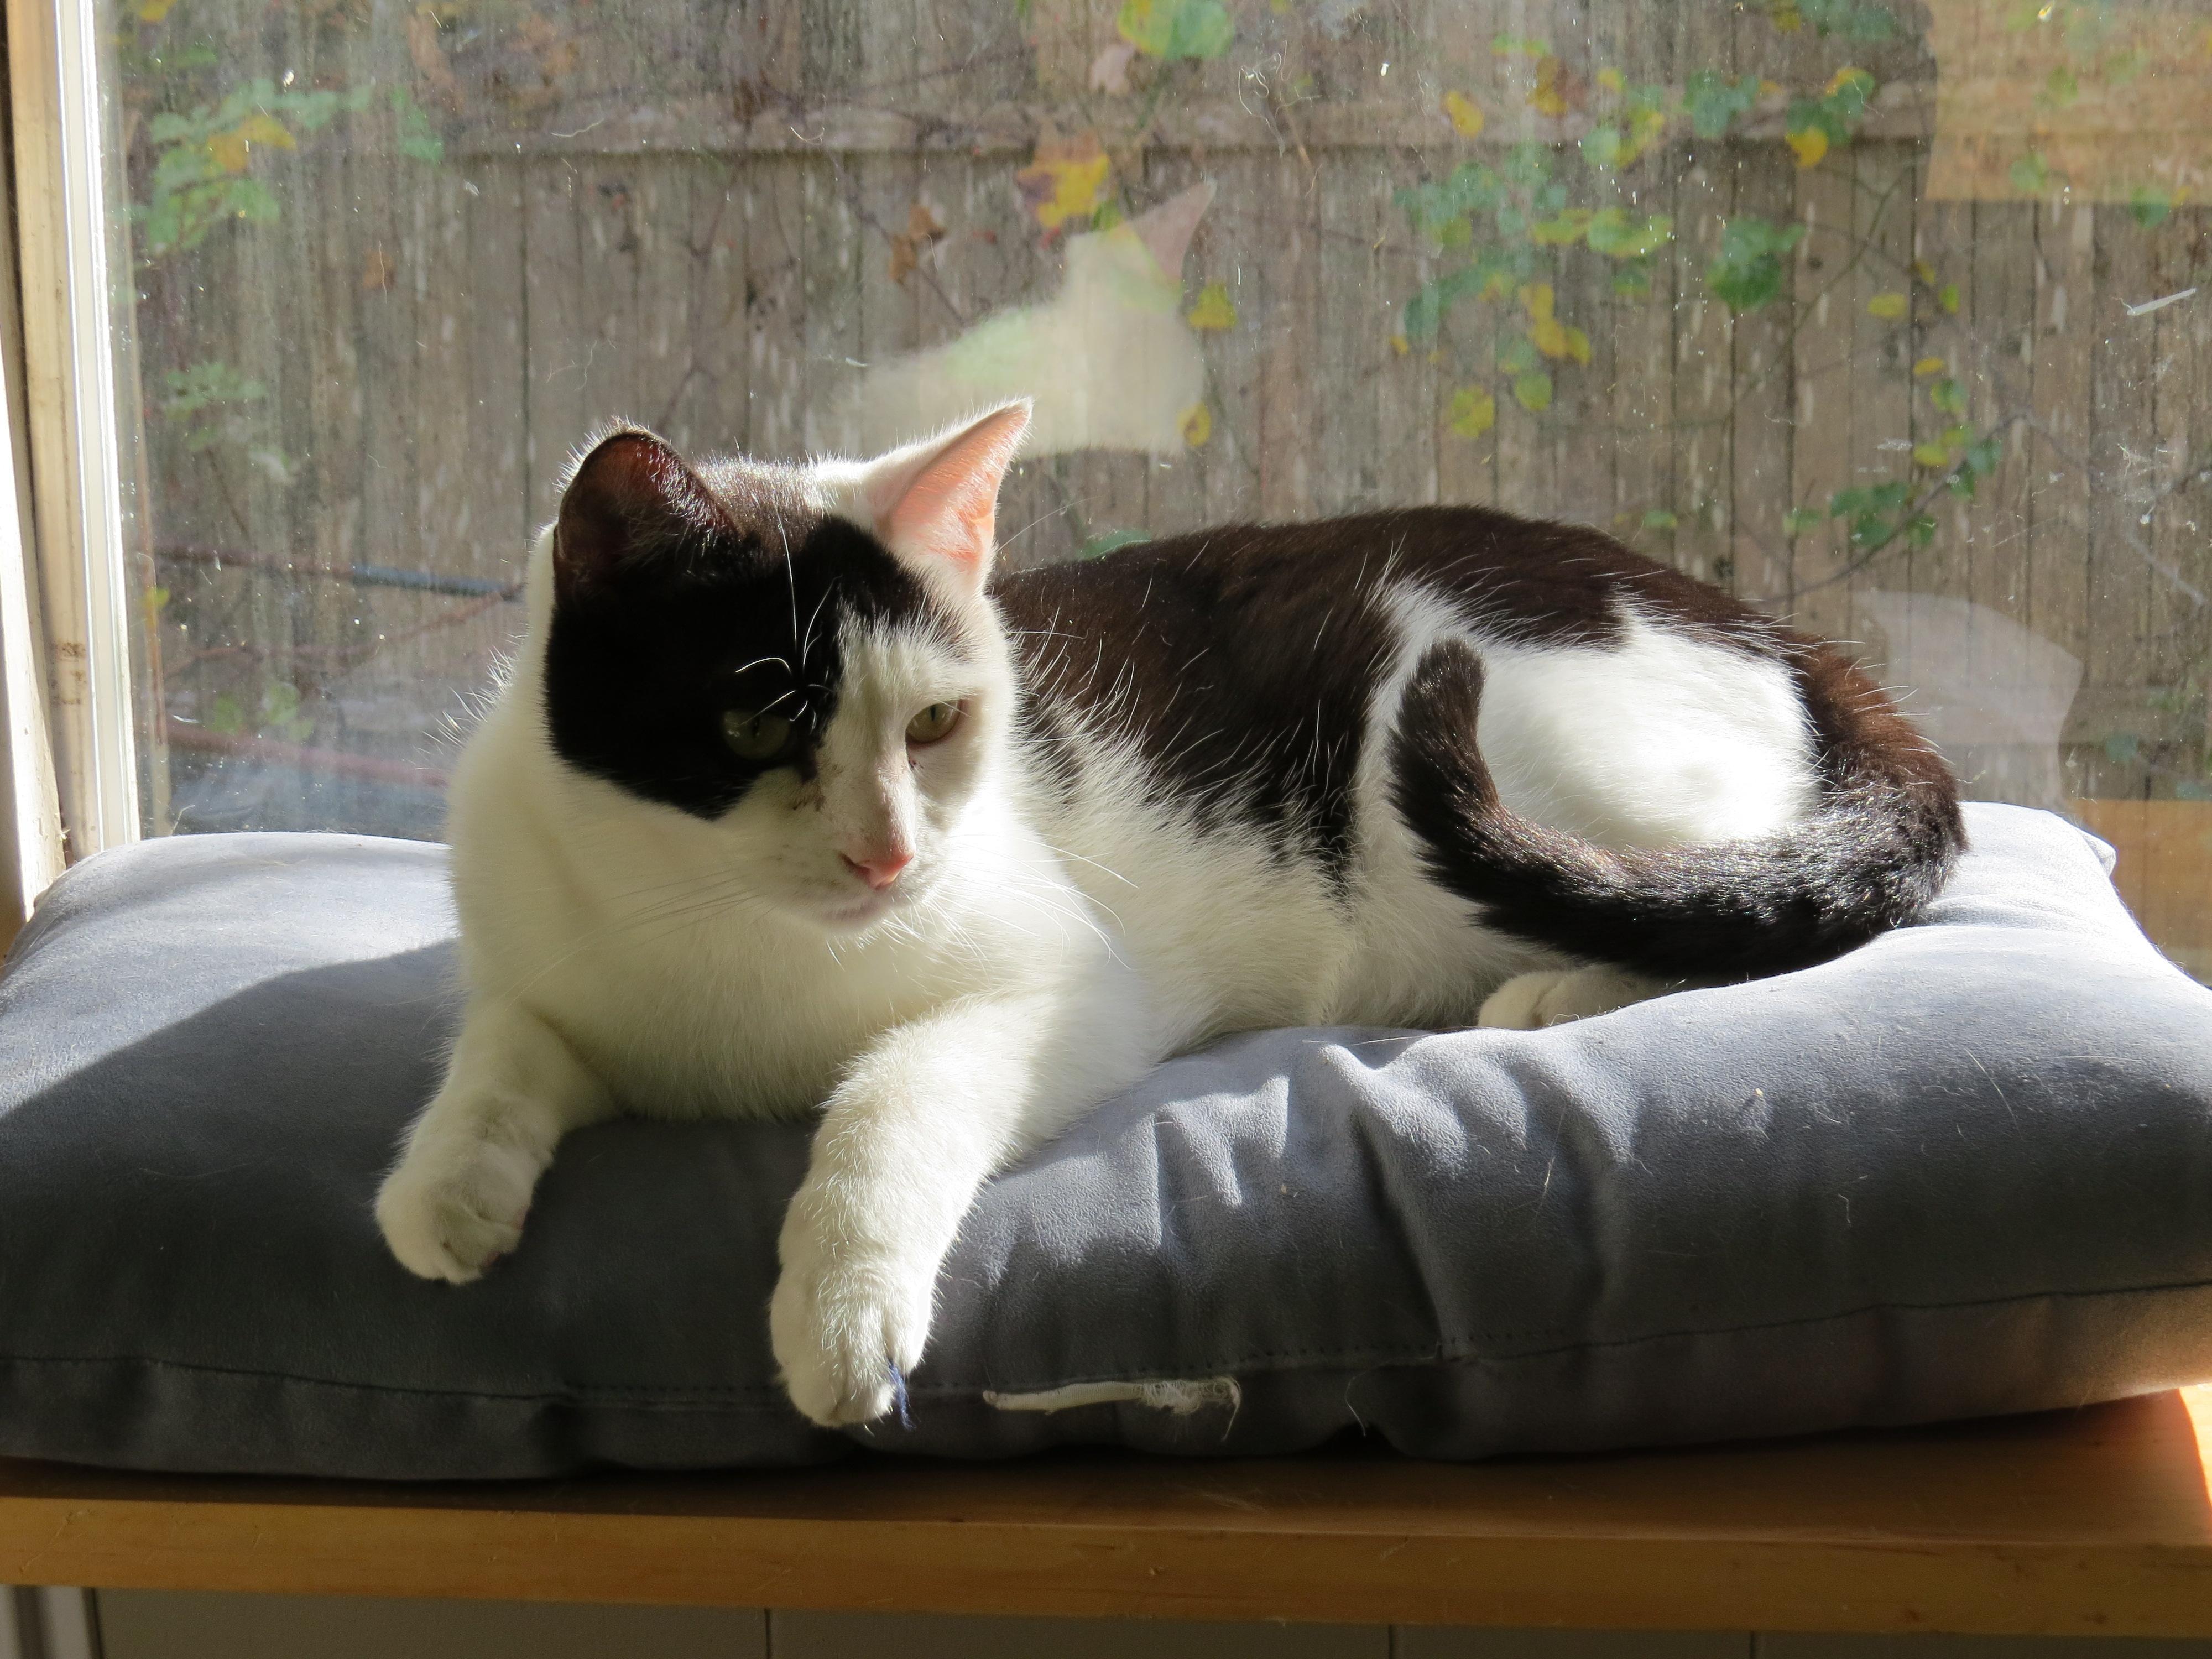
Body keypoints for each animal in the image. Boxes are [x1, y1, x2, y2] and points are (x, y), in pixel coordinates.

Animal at [372, 403, 1964, 1433]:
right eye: (761, 723)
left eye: (938, 724)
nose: (892, 855)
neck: (720, 930)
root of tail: (1765, 625)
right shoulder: (553, 956)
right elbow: (507, 1043)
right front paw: (447, 1184)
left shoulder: (1073, 985)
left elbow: (895, 1097)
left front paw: (839, 1304)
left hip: (1546, 761)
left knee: (1745, 904)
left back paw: (1555, 991)